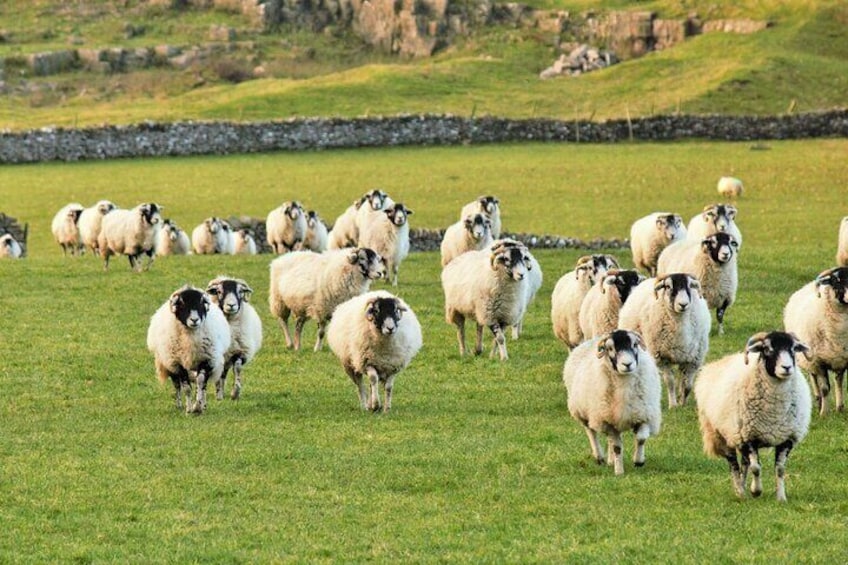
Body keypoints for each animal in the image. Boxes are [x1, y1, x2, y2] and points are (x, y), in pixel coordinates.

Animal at [146, 285, 231, 414]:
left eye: (201, 302)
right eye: (181, 303)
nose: (194, 320)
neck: (190, 340)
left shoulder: (206, 360)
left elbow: (200, 383)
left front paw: (198, 407)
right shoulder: (178, 364)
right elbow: (186, 387)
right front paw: (189, 409)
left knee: (202, 385)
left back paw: (203, 404)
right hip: (170, 365)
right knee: (177, 385)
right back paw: (179, 405)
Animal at [562, 330, 662, 476]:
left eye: (635, 344)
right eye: (610, 348)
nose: (627, 364)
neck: (624, 385)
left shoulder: (644, 415)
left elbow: (641, 438)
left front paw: (638, 461)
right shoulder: (607, 421)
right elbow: (617, 447)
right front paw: (619, 472)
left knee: (609, 439)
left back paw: (610, 460)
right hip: (585, 413)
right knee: (591, 433)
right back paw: (599, 457)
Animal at [618, 273, 711, 407]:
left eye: (689, 286)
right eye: (668, 286)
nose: (683, 304)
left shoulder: (693, 360)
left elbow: (687, 385)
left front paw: (683, 403)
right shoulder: (662, 358)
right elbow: (670, 382)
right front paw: (673, 405)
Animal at [694, 331, 812, 502]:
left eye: (793, 349)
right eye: (767, 349)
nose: (787, 367)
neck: (774, 411)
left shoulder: (787, 439)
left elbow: (780, 469)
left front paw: (781, 497)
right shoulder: (749, 437)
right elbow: (756, 468)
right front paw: (756, 491)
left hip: (739, 438)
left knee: (744, 463)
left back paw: (743, 487)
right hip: (723, 434)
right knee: (734, 465)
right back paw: (740, 492)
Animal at [783, 266, 848, 415]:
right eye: (837, 281)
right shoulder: (818, 361)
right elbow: (825, 388)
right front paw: (824, 413)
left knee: (838, 380)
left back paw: (839, 407)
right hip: (808, 357)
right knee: (813, 377)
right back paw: (818, 400)